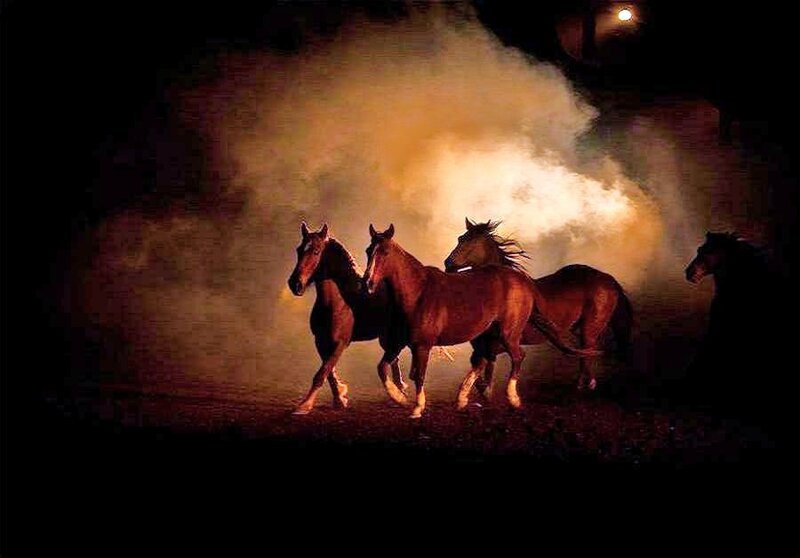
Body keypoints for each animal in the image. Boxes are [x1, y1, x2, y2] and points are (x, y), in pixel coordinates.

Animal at [287, 222, 409, 414]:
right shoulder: (320, 341)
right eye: (299, 249)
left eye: (316, 251)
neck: (337, 302)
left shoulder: (340, 343)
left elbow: (322, 373)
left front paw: (304, 405)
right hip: (385, 337)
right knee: (393, 358)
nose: (295, 284)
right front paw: (339, 398)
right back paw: (399, 390)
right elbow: (329, 371)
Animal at [363, 224, 596, 418]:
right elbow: (382, 368)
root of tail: (524, 282)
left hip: (508, 334)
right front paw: (400, 398)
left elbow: (419, 375)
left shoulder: (422, 346)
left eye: (384, 252)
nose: (367, 282)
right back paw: (462, 399)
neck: (417, 292)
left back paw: (513, 398)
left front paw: (417, 408)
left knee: (518, 356)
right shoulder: (397, 343)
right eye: (368, 250)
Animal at [444, 218, 632, 397]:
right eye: (460, 238)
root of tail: (609, 280)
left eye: (471, 242)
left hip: (590, 328)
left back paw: (586, 385)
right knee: (584, 353)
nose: (448, 263)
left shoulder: (500, 343)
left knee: (588, 351)